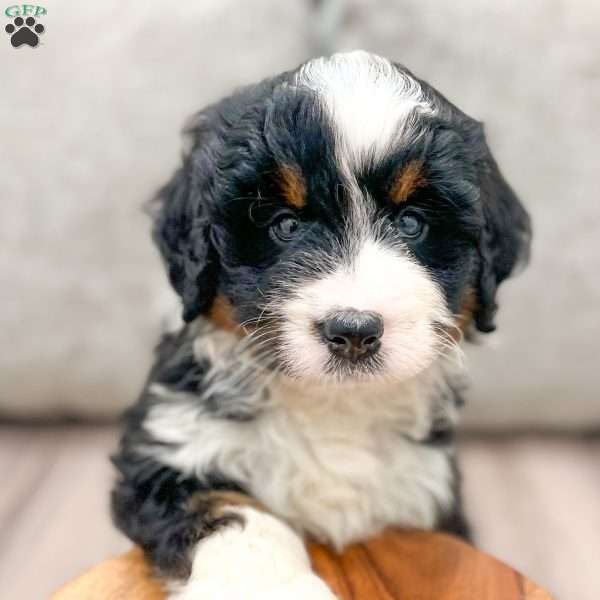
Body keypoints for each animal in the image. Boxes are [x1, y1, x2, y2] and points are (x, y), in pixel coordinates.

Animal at [111, 52, 528, 600]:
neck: (333, 405)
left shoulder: (426, 492)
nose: (353, 330)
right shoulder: (172, 443)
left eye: (412, 223)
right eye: (285, 225)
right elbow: (231, 511)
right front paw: (269, 585)